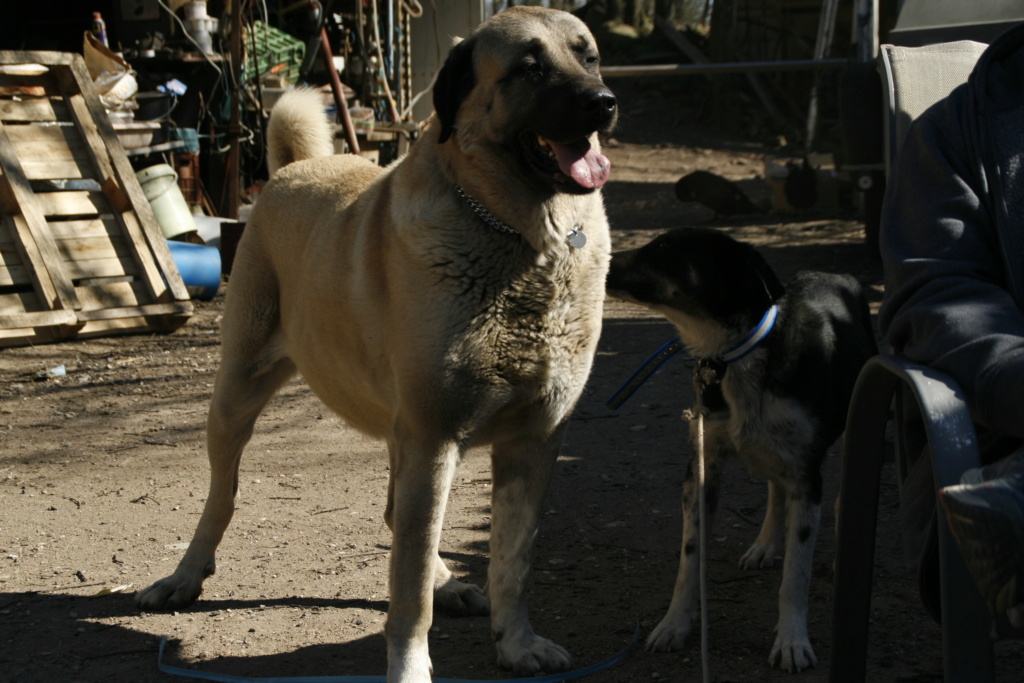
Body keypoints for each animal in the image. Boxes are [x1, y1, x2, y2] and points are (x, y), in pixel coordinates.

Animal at [136, 6, 614, 683]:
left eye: (589, 56)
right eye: (528, 67)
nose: (603, 103)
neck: (520, 239)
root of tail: (290, 169)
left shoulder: (534, 441)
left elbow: (512, 561)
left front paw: (517, 644)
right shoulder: (434, 437)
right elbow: (407, 592)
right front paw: (411, 666)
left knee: (397, 515)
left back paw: (451, 582)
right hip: (236, 396)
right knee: (221, 498)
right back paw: (182, 577)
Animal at [602, 228, 876, 671]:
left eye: (664, 249)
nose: (595, 257)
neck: (737, 355)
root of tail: (833, 273)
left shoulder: (807, 478)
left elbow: (796, 576)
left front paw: (792, 640)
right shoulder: (702, 469)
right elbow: (689, 560)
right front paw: (675, 624)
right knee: (774, 490)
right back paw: (765, 544)